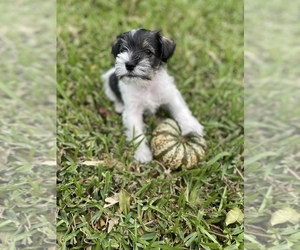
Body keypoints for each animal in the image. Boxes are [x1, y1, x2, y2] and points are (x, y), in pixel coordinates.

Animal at [102, 28, 203, 162]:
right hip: (109, 82)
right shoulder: (133, 112)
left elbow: (180, 109)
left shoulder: (171, 95)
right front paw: (143, 153)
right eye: (123, 50)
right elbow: (137, 133)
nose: (129, 64)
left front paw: (192, 127)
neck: (146, 84)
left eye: (148, 52)